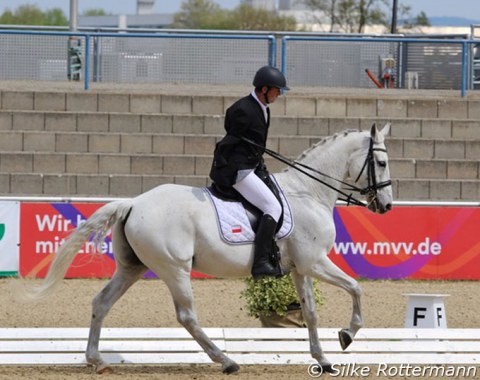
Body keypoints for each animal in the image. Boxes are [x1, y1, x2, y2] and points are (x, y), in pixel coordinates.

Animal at [20, 124, 392, 374]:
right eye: (382, 163)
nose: (385, 207)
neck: (309, 192)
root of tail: (134, 203)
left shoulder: (301, 268)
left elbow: (311, 313)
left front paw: (324, 360)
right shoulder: (315, 262)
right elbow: (356, 288)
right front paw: (347, 334)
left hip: (133, 267)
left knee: (101, 302)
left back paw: (96, 360)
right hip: (175, 268)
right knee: (187, 316)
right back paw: (225, 360)